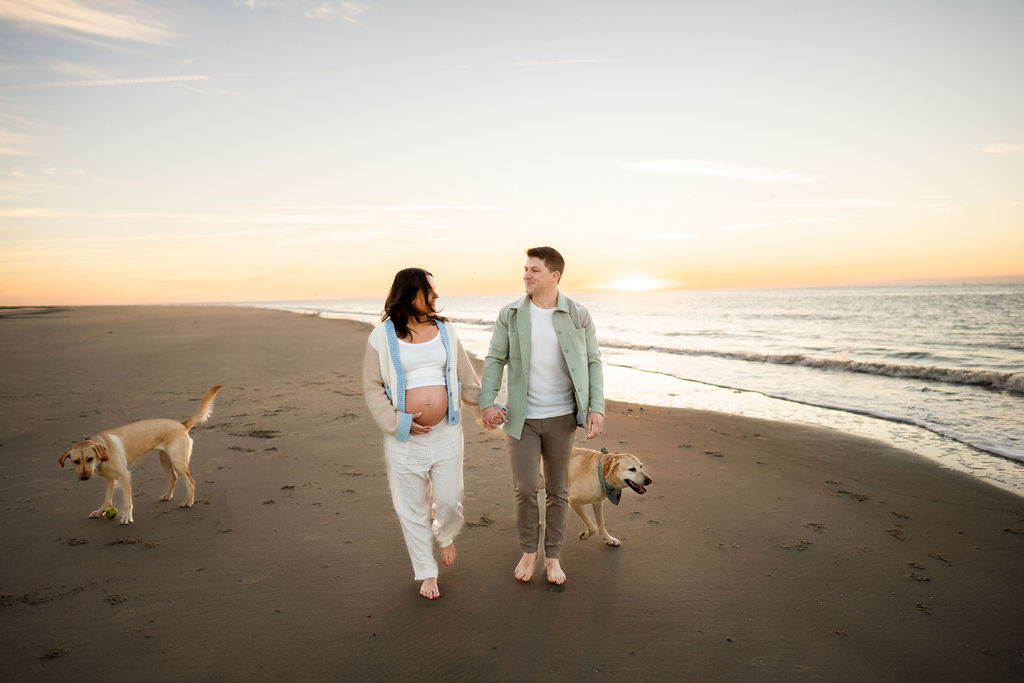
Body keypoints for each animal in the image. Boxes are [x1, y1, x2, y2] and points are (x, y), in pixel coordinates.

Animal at [58, 387, 221, 528]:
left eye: (90, 458)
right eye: (76, 461)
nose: (84, 477)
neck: (103, 449)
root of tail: (181, 424)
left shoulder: (125, 477)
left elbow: (127, 502)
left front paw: (126, 517)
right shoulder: (110, 479)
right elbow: (107, 499)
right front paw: (100, 511)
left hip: (178, 462)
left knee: (190, 482)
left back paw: (188, 502)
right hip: (164, 460)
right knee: (173, 478)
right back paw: (168, 496)